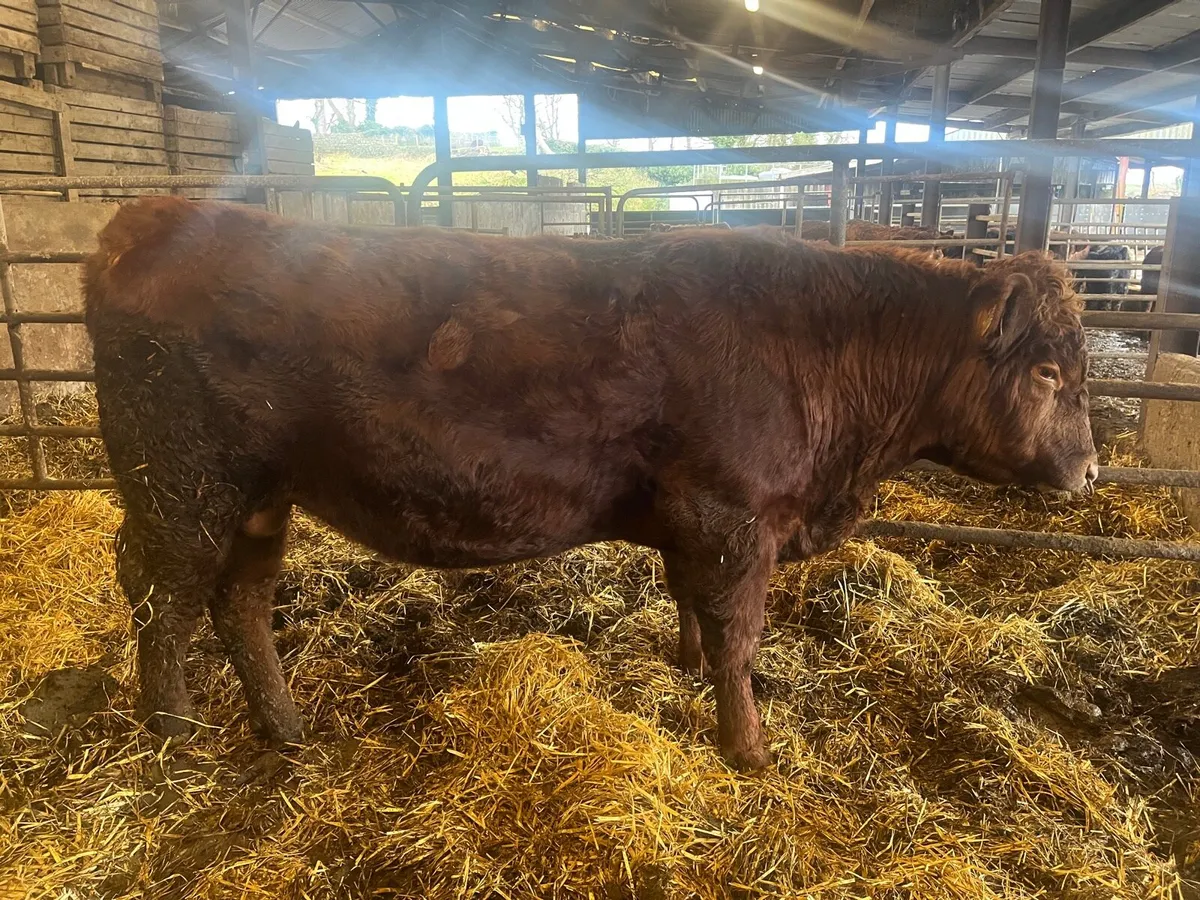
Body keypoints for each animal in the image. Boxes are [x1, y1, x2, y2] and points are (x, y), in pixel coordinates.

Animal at [84, 197, 1098, 771]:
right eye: (1050, 371)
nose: (1090, 469)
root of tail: (158, 220)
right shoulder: (735, 518)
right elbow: (739, 635)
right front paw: (750, 750)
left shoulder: (695, 521)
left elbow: (693, 609)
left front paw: (690, 672)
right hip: (179, 480)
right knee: (163, 599)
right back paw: (175, 735)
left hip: (261, 495)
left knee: (241, 602)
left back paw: (284, 726)